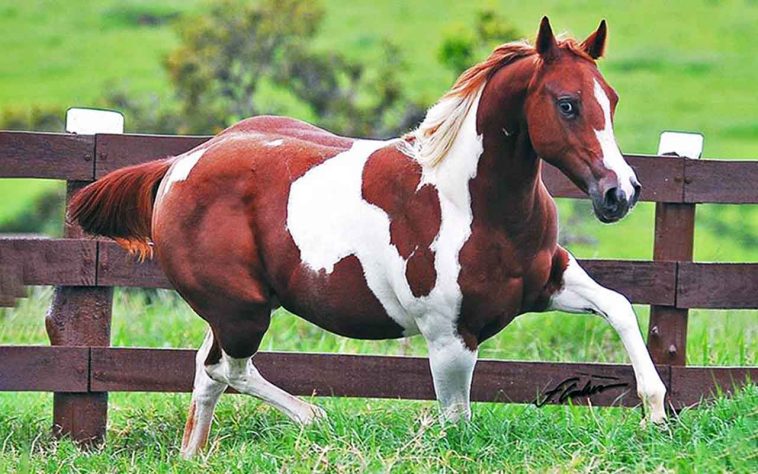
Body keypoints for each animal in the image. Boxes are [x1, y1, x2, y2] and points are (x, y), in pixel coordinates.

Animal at [69, 17, 667, 458]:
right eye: (567, 103)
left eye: (611, 100)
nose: (621, 193)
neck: (472, 205)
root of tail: (181, 164)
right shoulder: (450, 337)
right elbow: (457, 424)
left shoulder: (550, 282)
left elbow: (619, 306)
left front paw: (657, 416)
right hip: (242, 309)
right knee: (227, 367)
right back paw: (316, 419)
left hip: (232, 312)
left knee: (207, 371)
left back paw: (193, 455)